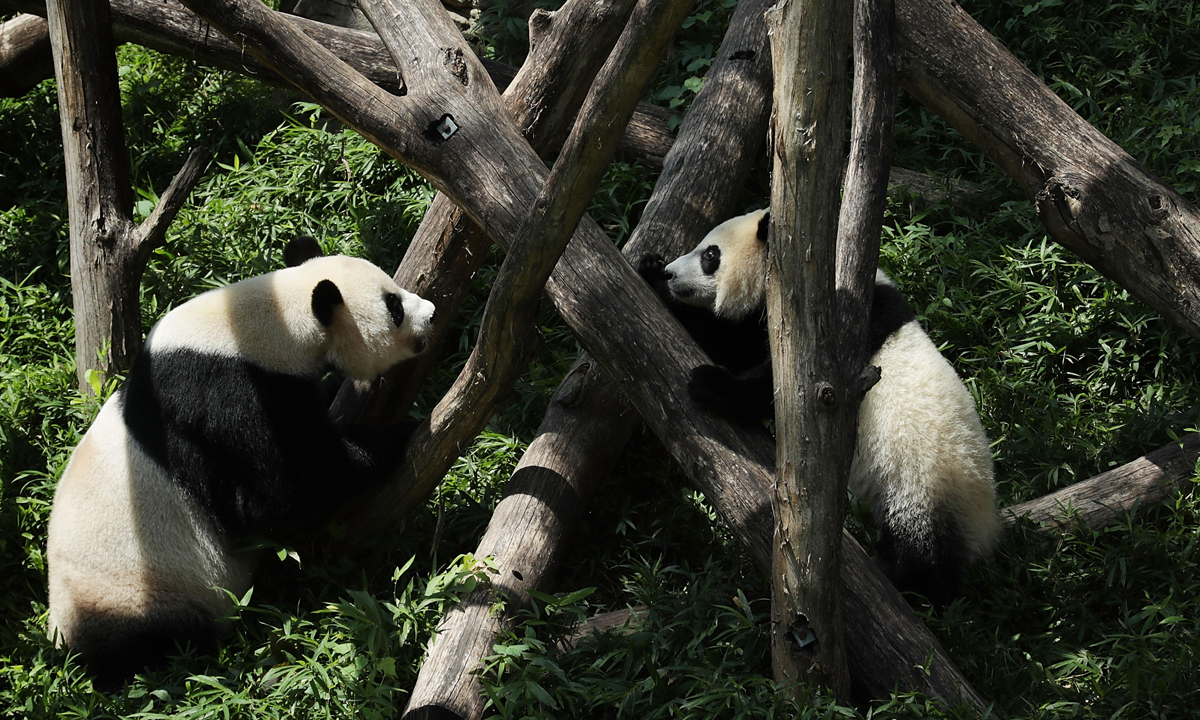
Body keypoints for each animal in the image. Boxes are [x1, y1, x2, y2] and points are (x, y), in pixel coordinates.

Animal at [46, 237, 435, 689]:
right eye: (394, 306)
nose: (431, 313)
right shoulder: (229, 395)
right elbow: (280, 492)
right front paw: (401, 432)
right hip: (143, 593)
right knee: (161, 642)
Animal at [638, 209, 1001, 606]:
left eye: (710, 255)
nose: (672, 273)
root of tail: (985, 527)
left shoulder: (840, 325)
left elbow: (783, 387)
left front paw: (710, 384)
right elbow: (734, 342)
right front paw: (651, 270)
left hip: (924, 481)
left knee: (924, 551)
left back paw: (903, 580)